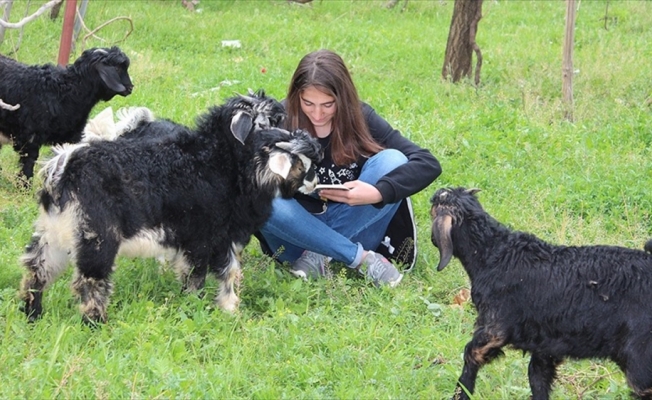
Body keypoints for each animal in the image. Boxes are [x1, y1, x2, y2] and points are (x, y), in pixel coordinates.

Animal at [0, 46, 134, 181]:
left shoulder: (69, 137)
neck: (65, 92)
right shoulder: (30, 138)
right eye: (117, 68)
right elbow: (28, 168)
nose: (130, 88)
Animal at [21, 91, 322, 324]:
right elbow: (207, 274)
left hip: (54, 232)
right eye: (267, 123)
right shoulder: (204, 237)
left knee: (37, 269)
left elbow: (224, 271)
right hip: (96, 235)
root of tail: (64, 167)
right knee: (90, 279)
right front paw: (208, 306)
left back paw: (31, 314)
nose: (309, 146)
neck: (215, 163)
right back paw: (95, 323)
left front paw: (224, 308)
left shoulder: (217, 238)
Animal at [430, 187, 652, 400]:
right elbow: (537, 379)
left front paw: (461, 393)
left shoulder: (495, 325)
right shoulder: (545, 345)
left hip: (639, 356)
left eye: (434, 206)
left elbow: (470, 354)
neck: (493, 253)